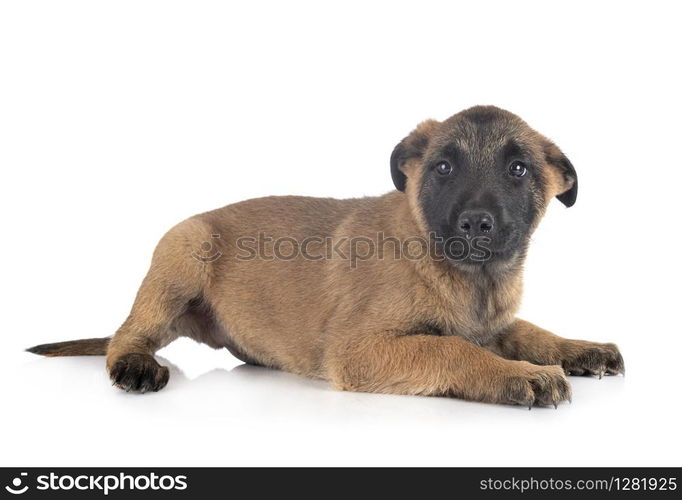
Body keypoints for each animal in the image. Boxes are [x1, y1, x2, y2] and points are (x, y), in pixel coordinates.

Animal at [27, 105, 620, 406]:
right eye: (443, 168)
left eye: (518, 169)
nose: (476, 223)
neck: (471, 279)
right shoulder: (361, 349)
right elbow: (452, 349)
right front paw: (520, 374)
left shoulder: (494, 322)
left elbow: (528, 332)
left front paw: (578, 348)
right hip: (185, 249)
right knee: (127, 333)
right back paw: (134, 365)